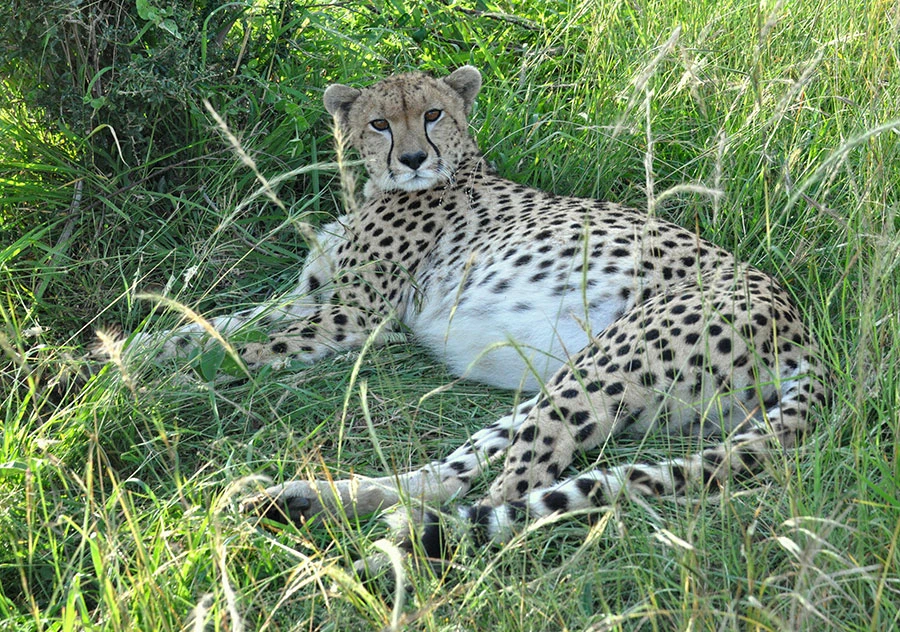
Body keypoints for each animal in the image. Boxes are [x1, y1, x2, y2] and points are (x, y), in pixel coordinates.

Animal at [127, 65, 828, 561]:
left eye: (433, 114)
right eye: (380, 124)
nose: (413, 158)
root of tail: (804, 330)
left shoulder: (353, 317)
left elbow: (241, 348)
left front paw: (153, 387)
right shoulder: (313, 296)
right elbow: (205, 326)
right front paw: (120, 358)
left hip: (601, 370)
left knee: (510, 497)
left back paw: (393, 559)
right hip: (569, 381)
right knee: (454, 475)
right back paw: (308, 502)